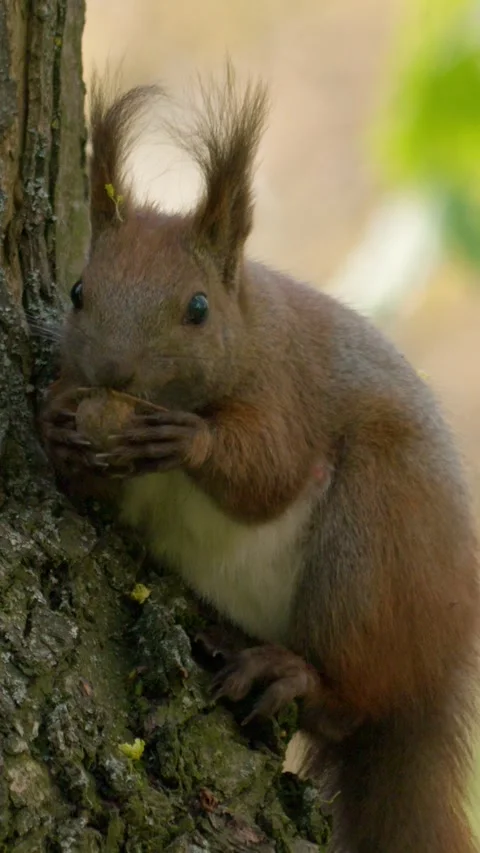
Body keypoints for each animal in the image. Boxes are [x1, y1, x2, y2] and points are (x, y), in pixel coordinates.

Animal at [40, 65, 480, 852]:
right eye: (78, 291)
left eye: (198, 308)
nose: (114, 371)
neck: (249, 331)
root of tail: (440, 662)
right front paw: (59, 431)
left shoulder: (289, 389)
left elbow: (269, 473)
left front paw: (189, 440)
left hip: (371, 545)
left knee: (350, 701)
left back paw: (292, 674)